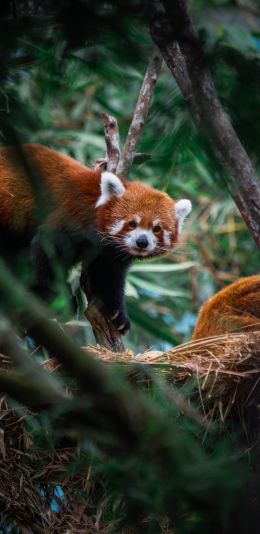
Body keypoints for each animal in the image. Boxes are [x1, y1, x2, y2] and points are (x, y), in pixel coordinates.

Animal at [0, 142, 191, 336]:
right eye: (132, 223)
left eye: (157, 228)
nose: (142, 242)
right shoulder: (73, 217)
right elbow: (48, 248)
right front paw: (49, 292)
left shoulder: (110, 255)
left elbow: (108, 276)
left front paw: (118, 314)